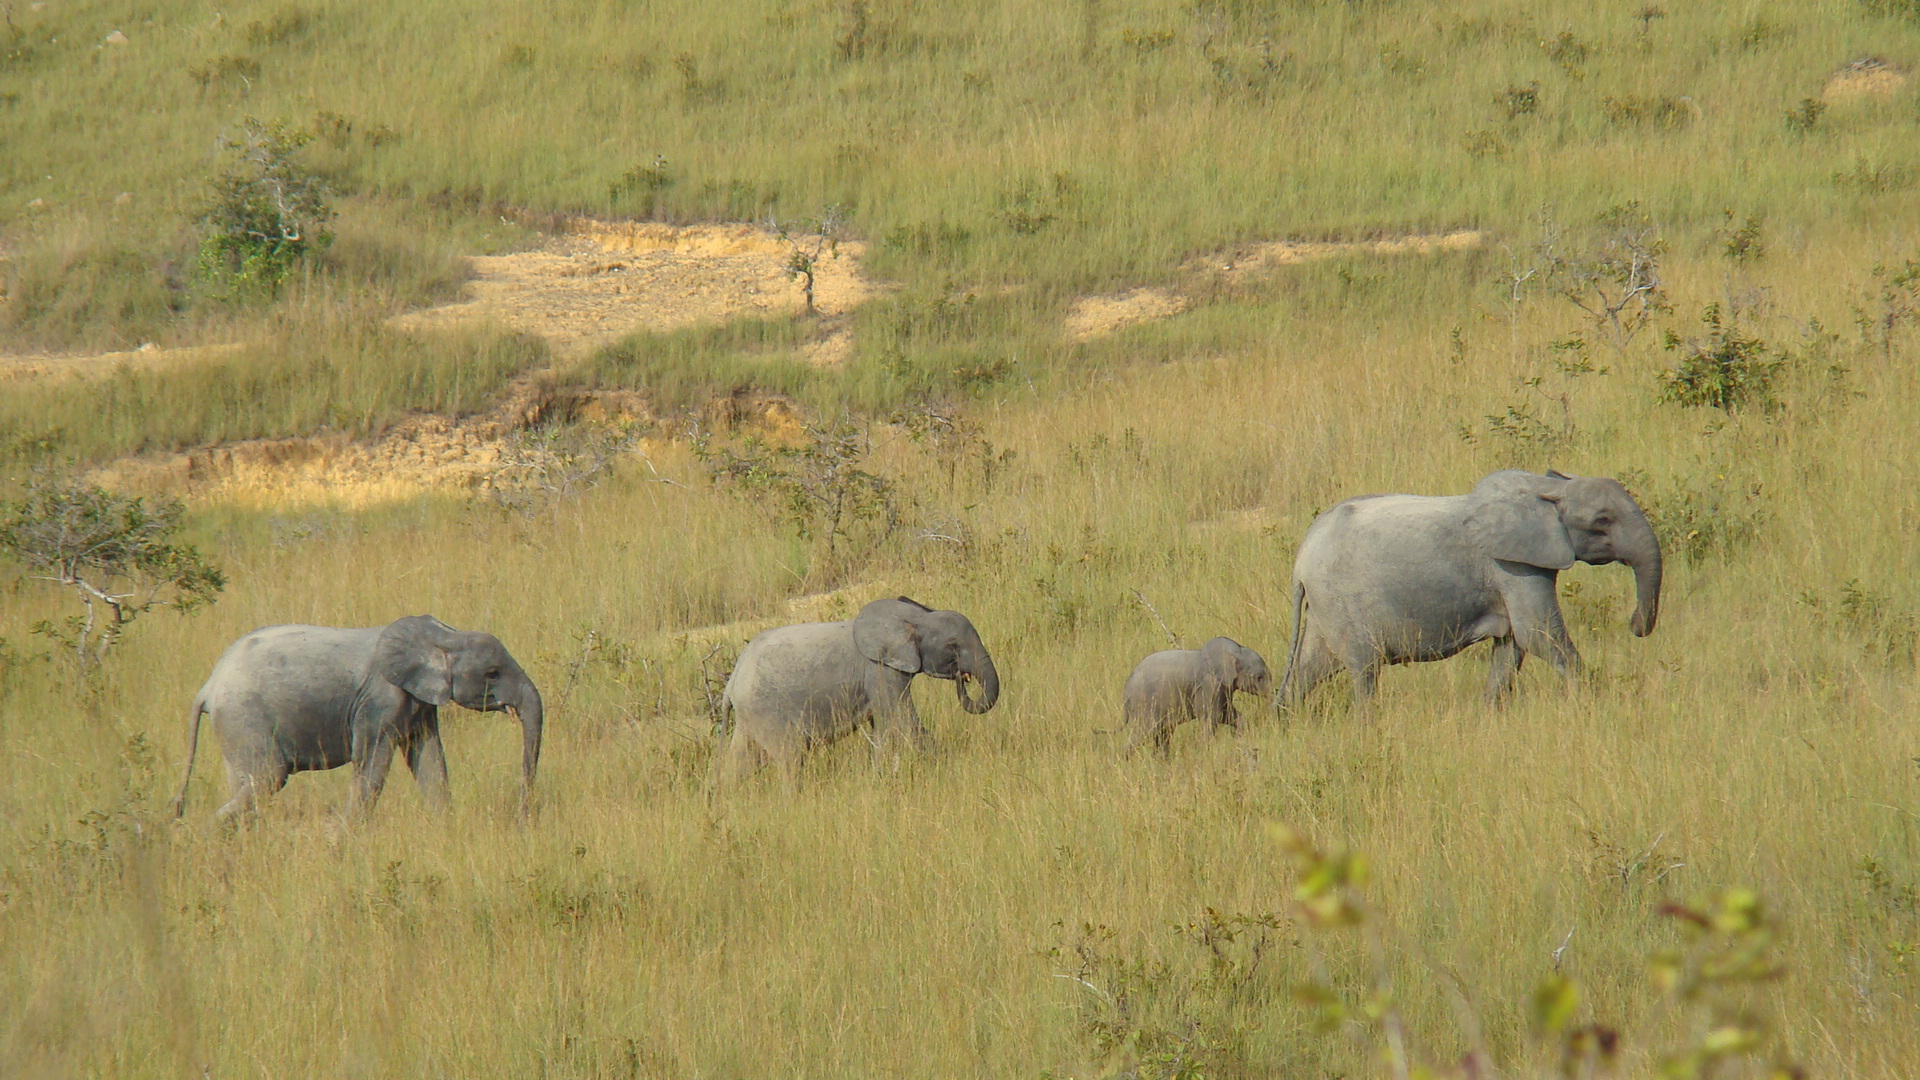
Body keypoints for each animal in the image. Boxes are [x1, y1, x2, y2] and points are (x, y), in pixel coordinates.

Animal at [170, 611, 541, 818]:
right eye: (493, 673)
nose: (523, 815)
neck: (443, 635)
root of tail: (208, 686)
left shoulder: (419, 703)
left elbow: (430, 760)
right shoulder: (379, 701)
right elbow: (372, 766)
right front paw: (340, 838)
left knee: (246, 785)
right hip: (245, 718)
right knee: (266, 779)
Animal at [721, 591, 1006, 776]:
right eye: (953, 646)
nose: (963, 677)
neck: (912, 616)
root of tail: (731, 683)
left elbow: (883, 730)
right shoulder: (879, 670)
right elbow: (902, 722)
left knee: (738, 763)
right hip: (768, 711)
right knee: (790, 759)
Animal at [1121, 634, 1274, 753]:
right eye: (1259, 677)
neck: (1234, 651)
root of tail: (1125, 692)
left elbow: (1226, 713)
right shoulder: (1208, 684)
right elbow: (1211, 717)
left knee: (1163, 734)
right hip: (1144, 705)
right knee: (1145, 733)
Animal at [1274, 466, 1666, 711]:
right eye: (1603, 521)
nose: (1634, 625)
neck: (1547, 489)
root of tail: (1300, 561)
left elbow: (1512, 647)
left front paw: (1491, 716)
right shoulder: (1511, 565)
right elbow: (1538, 634)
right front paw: (1595, 704)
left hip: (1326, 606)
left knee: (1309, 668)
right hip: (1342, 600)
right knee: (1364, 670)